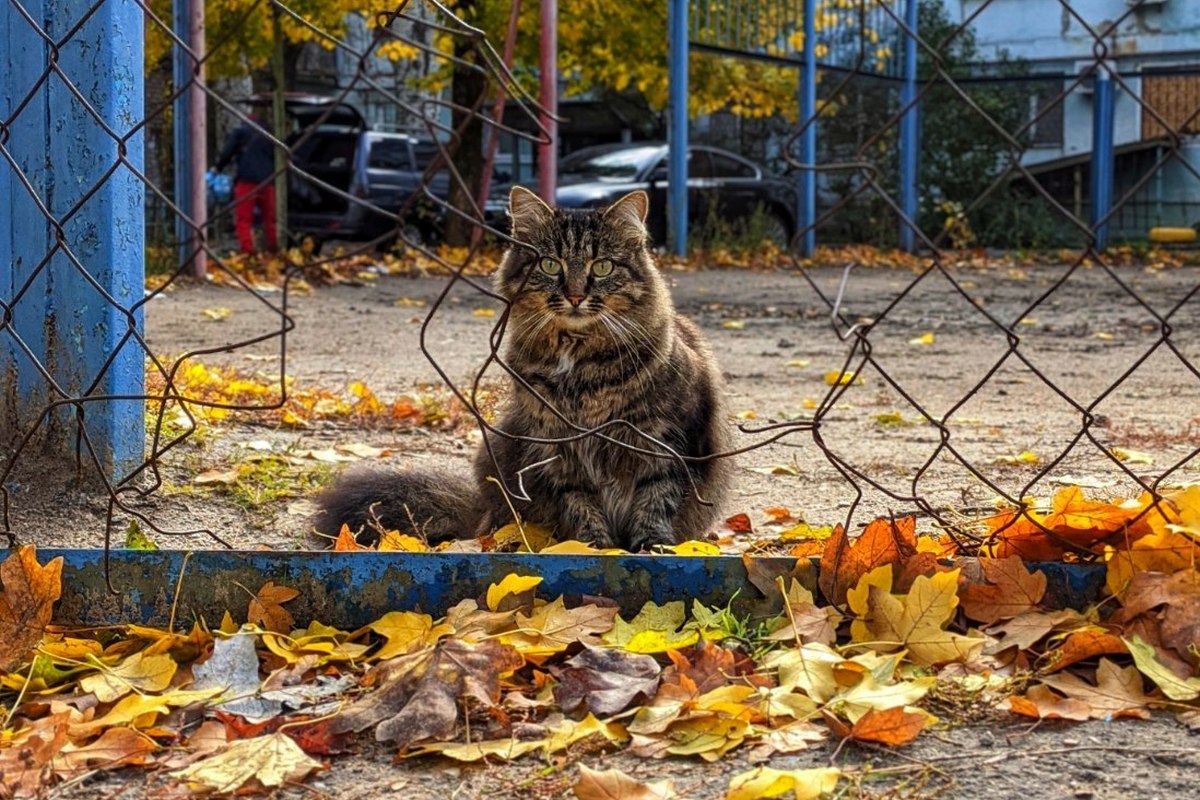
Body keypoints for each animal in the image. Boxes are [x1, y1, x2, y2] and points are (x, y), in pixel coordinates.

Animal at [314, 187, 729, 551]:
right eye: (549, 264)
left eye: (602, 266)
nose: (575, 296)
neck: (580, 366)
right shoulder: (558, 448)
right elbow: (581, 506)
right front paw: (593, 547)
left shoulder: (663, 439)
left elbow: (655, 500)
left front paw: (651, 548)